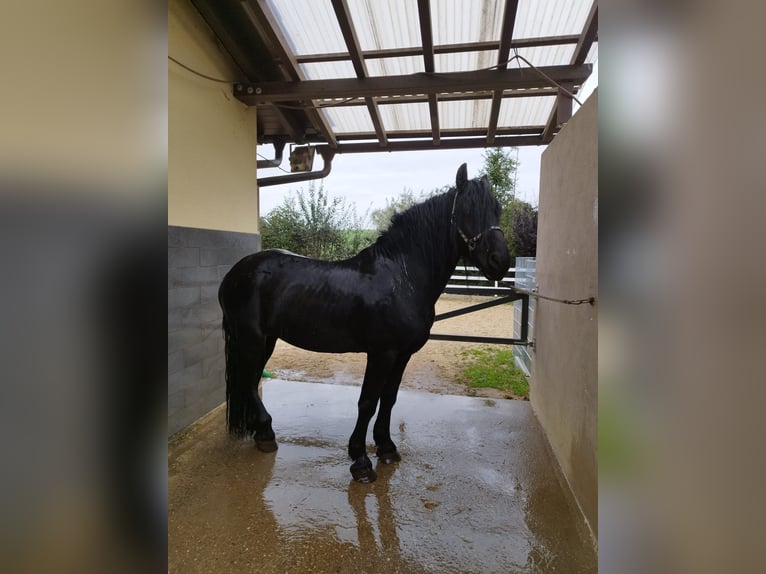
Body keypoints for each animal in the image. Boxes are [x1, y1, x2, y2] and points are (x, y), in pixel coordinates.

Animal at [218, 163, 511, 483]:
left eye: (497, 209)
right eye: (468, 209)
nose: (500, 261)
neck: (402, 277)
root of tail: (235, 272)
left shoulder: (403, 354)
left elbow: (389, 397)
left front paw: (386, 447)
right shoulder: (382, 353)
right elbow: (368, 401)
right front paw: (360, 460)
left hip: (267, 339)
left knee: (249, 379)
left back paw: (262, 434)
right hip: (251, 338)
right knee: (247, 379)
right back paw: (266, 433)